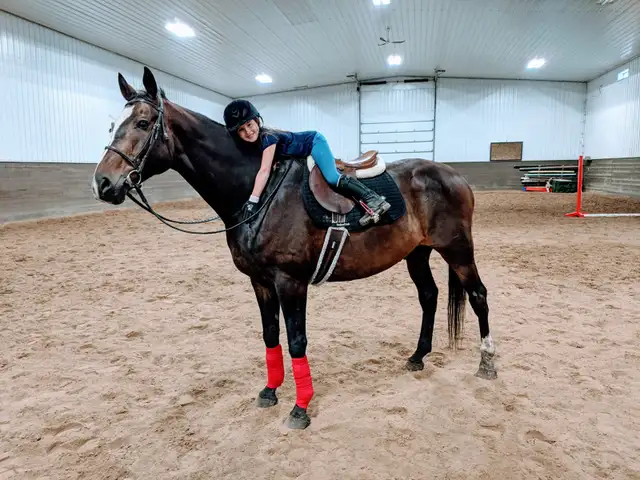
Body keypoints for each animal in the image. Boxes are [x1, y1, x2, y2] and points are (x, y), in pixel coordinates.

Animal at [92, 66, 497, 430]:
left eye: (143, 123)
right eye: (112, 126)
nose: (102, 183)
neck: (259, 194)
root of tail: (453, 175)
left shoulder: (290, 282)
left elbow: (297, 341)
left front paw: (300, 408)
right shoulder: (260, 282)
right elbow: (271, 336)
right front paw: (270, 391)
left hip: (458, 249)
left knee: (478, 295)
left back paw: (487, 363)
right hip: (418, 252)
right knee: (429, 296)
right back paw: (417, 357)